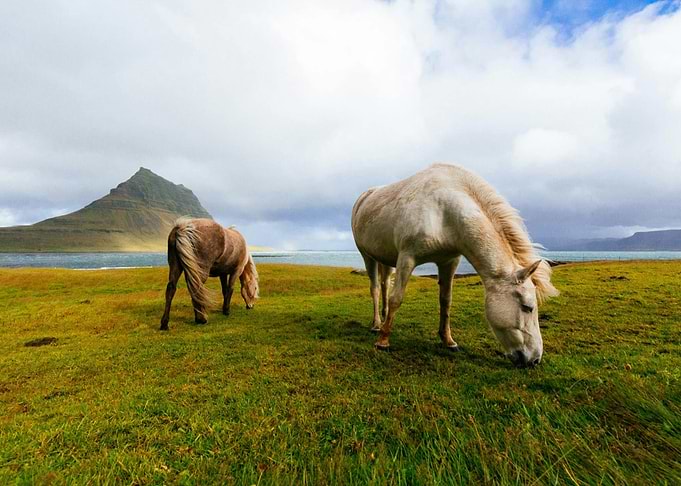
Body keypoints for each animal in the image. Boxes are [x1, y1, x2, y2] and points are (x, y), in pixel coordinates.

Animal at [351, 163, 558, 367]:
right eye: (527, 307)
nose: (534, 359)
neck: (444, 211)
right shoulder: (406, 258)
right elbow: (397, 298)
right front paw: (383, 341)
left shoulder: (449, 262)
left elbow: (446, 301)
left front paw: (448, 340)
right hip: (367, 256)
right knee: (376, 289)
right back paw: (377, 325)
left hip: (386, 259)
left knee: (385, 284)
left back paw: (384, 318)